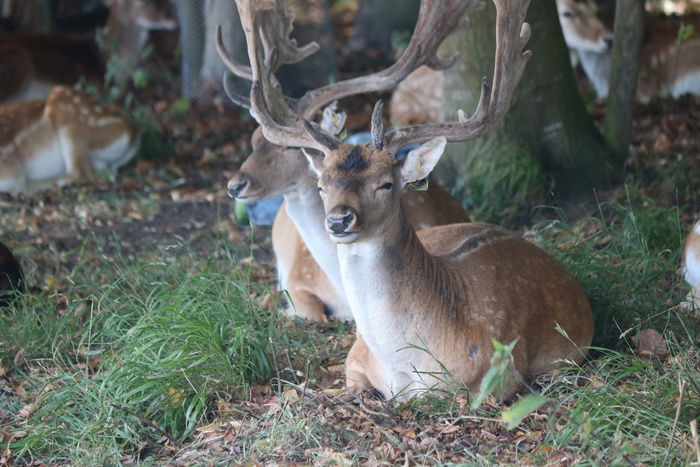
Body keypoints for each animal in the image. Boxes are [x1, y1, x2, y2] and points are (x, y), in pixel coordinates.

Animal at [0, 85, 141, 194]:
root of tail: (131, 132)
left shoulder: (9, 166)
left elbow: (14, 181)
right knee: (98, 171)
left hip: (70, 123)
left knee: (78, 173)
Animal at [227, 0, 592, 402]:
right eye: (322, 185)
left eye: (386, 184)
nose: (339, 220)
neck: (407, 364)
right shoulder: (353, 357)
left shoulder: (496, 377)